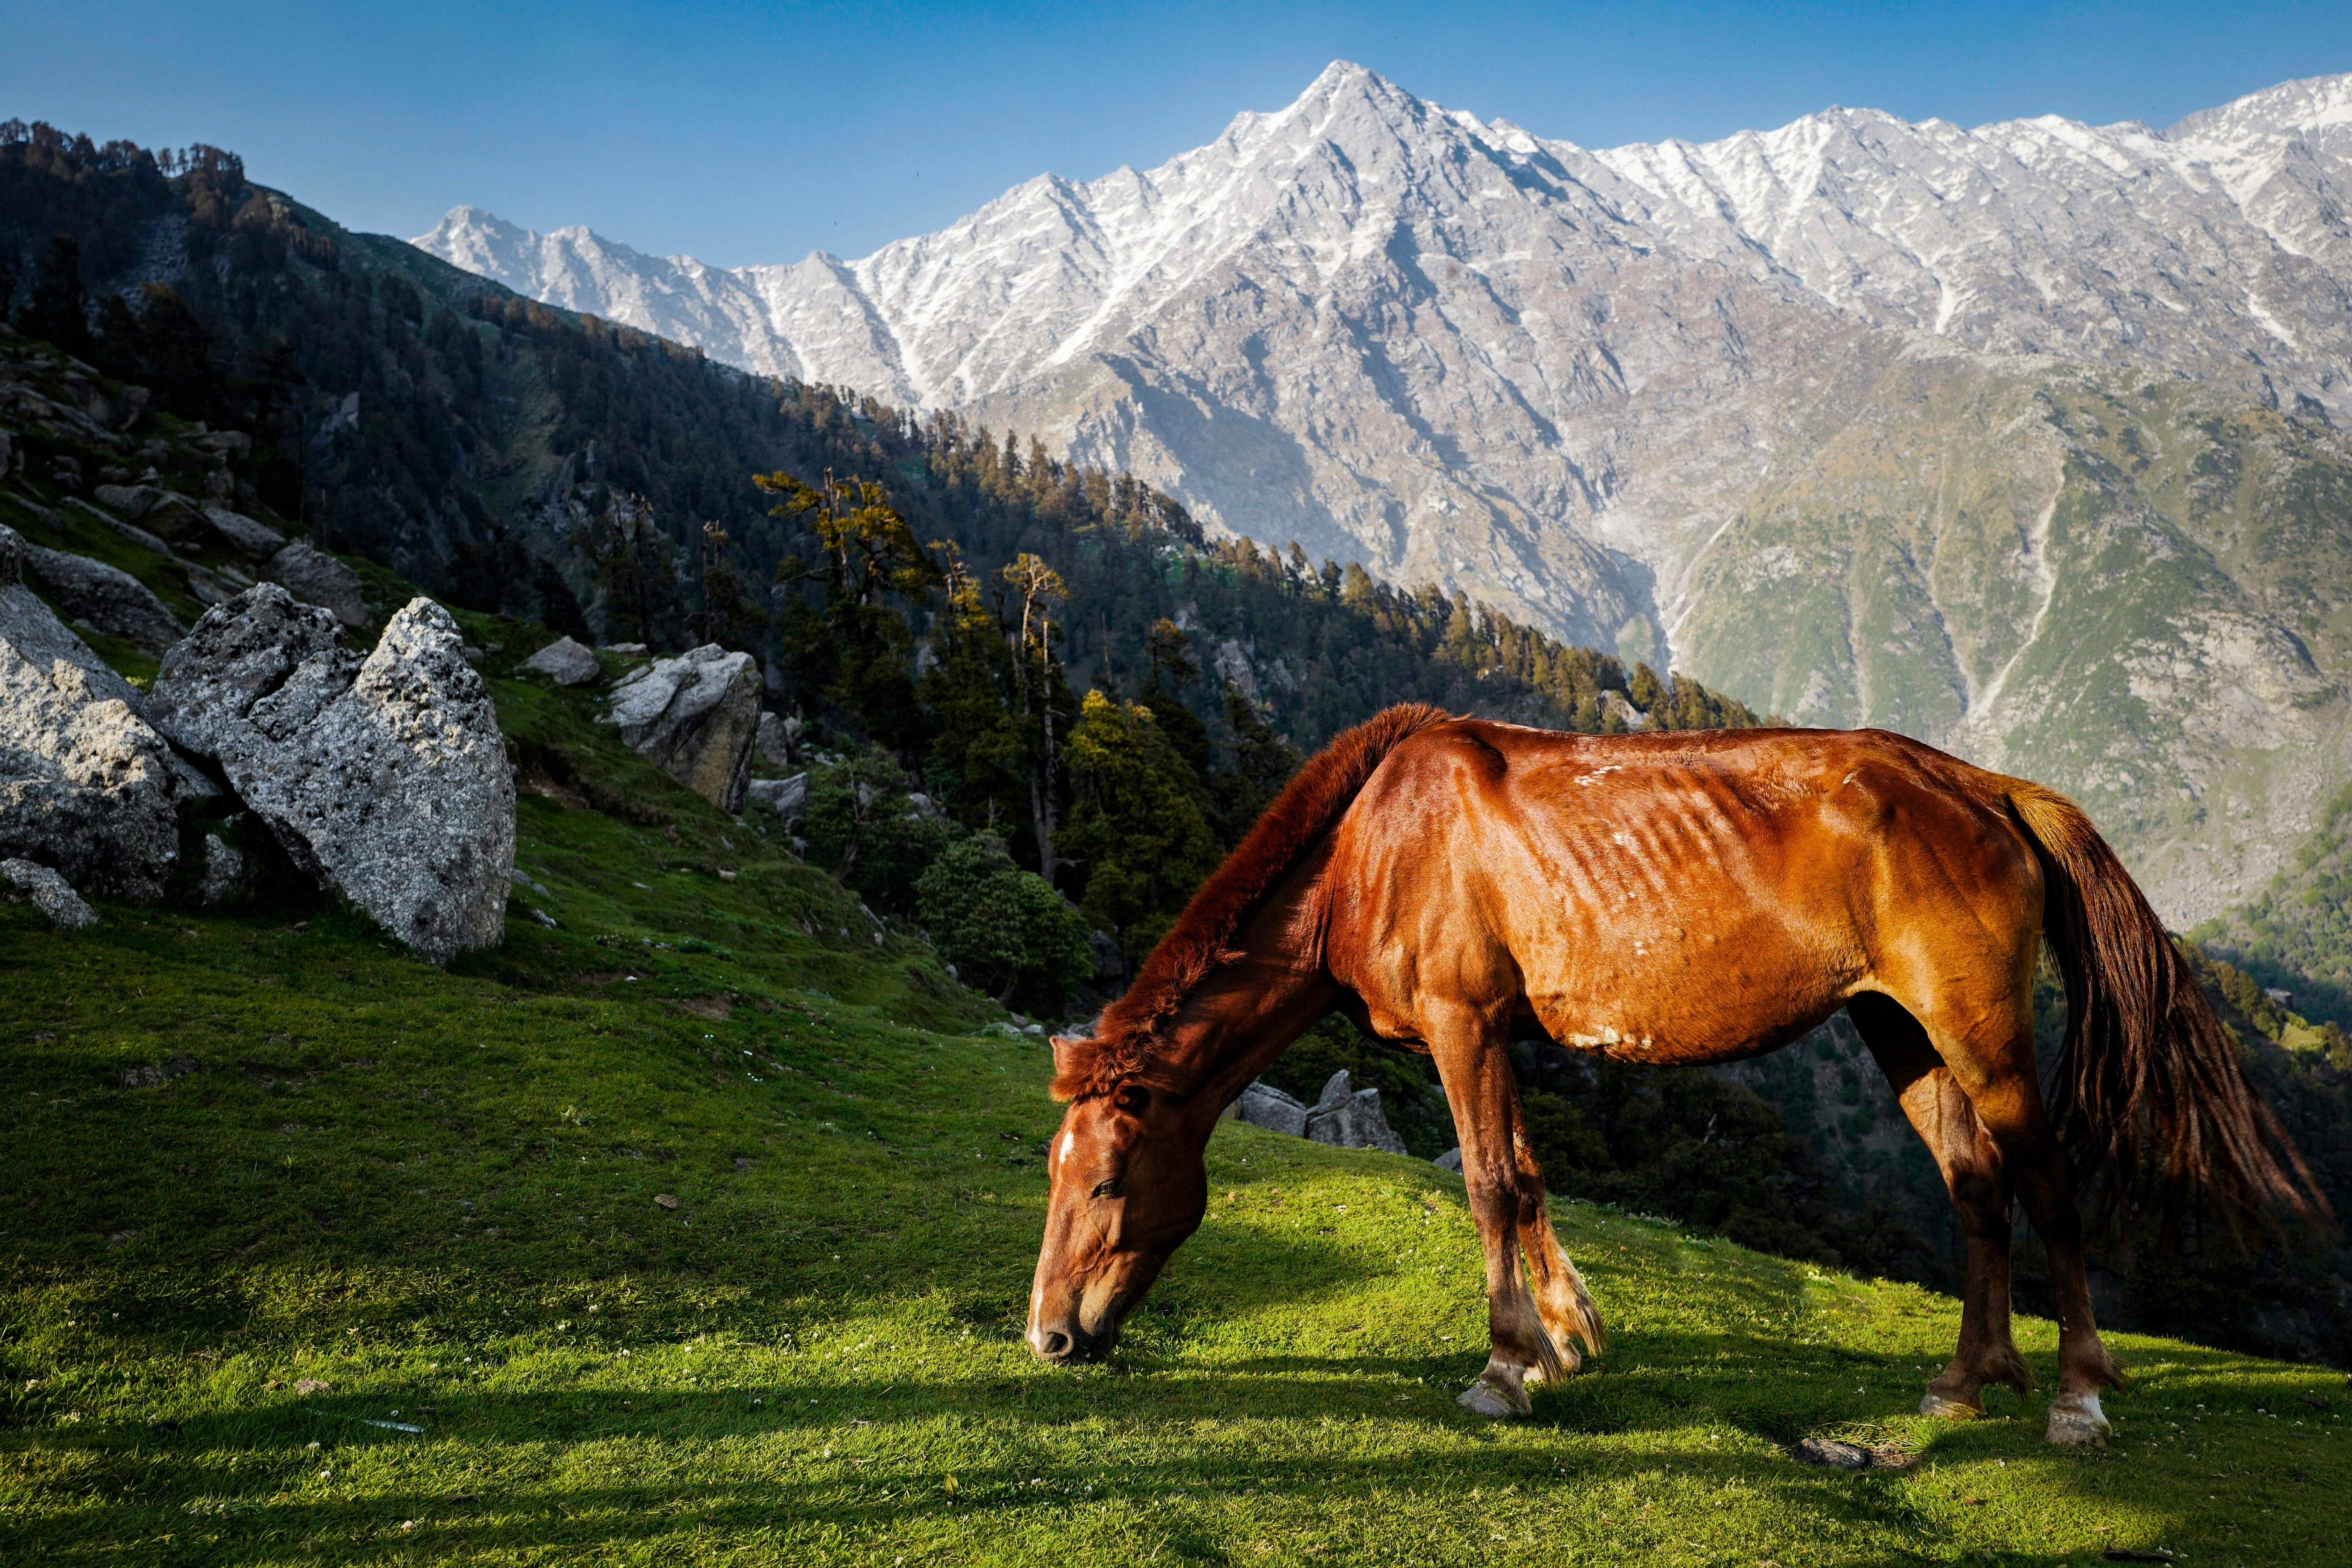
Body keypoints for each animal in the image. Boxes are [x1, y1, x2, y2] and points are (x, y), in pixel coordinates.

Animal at [1030, 710, 2314, 1448]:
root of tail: (1986, 786)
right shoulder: (1494, 1031)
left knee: (2044, 1185)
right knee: (1974, 1187)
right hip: (1899, 1029)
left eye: (1103, 1184)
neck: (1374, 844)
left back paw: (2073, 1395)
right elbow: (1527, 1179)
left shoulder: (1461, 1022)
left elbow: (1488, 1186)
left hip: (1979, 1029)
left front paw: (1502, 1369)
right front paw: (1561, 1340)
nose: (1048, 1338)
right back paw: (1963, 1381)